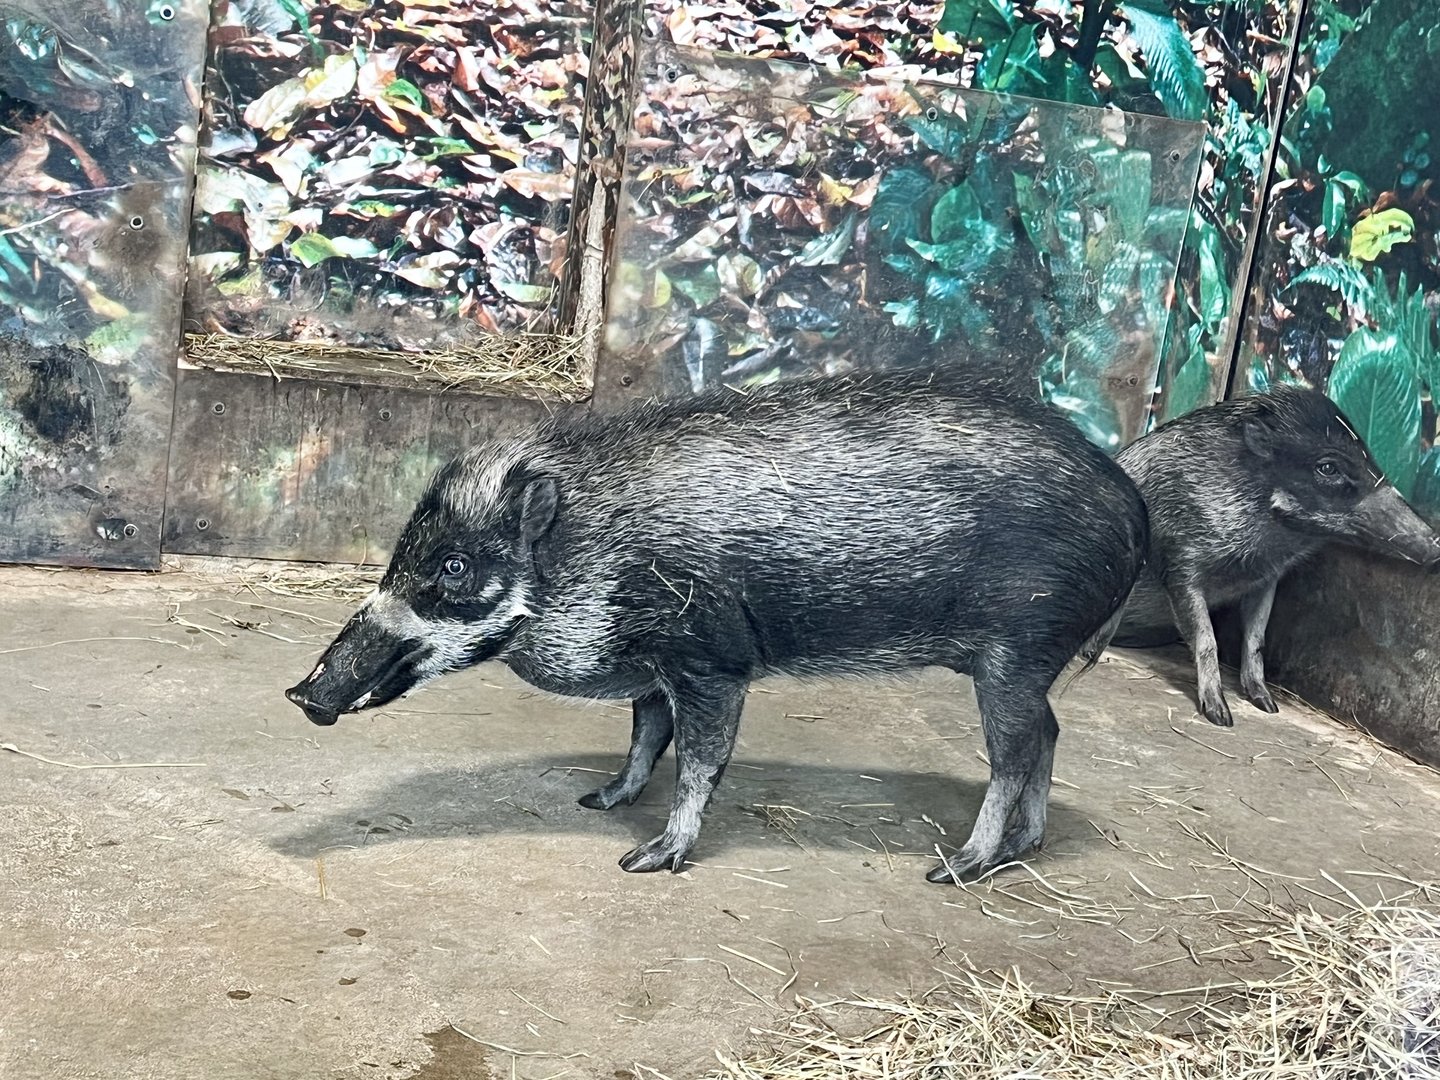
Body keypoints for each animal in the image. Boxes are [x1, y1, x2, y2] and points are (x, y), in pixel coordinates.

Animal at [284, 365, 1148, 885]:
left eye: (456, 567)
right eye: (408, 549)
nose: (301, 693)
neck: (594, 550)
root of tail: (1128, 501)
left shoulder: (712, 662)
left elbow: (699, 760)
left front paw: (646, 859)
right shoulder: (653, 669)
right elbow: (645, 737)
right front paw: (601, 802)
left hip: (1015, 650)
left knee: (1013, 754)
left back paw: (953, 869)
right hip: (1027, 664)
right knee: (1051, 734)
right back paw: (1024, 849)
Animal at [1110, 384, 1440, 728]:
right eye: (1328, 467)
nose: (1436, 547)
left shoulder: (1267, 581)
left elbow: (1257, 638)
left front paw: (1268, 706)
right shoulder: (1180, 563)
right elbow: (1206, 637)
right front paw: (1221, 717)